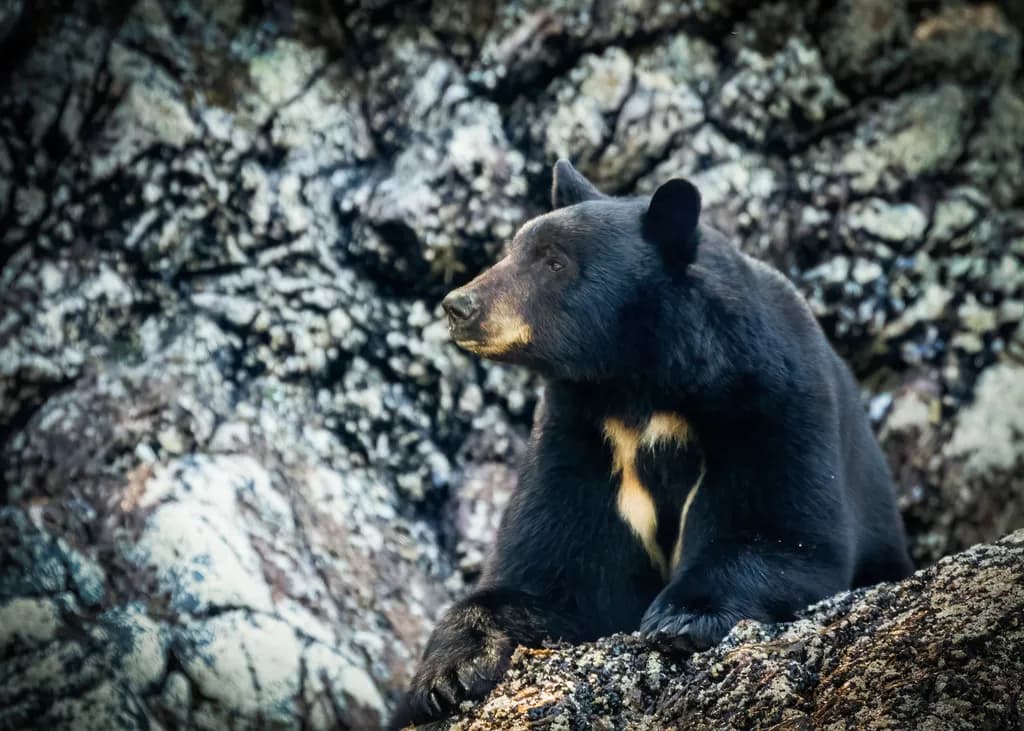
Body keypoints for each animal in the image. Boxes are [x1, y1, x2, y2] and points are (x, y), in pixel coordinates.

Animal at [393, 160, 913, 727]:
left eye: (555, 261)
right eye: (513, 249)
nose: (459, 305)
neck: (642, 387)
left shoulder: (774, 405)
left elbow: (783, 532)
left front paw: (683, 616)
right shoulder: (581, 436)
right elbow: (553, 571)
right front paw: (448, 672)